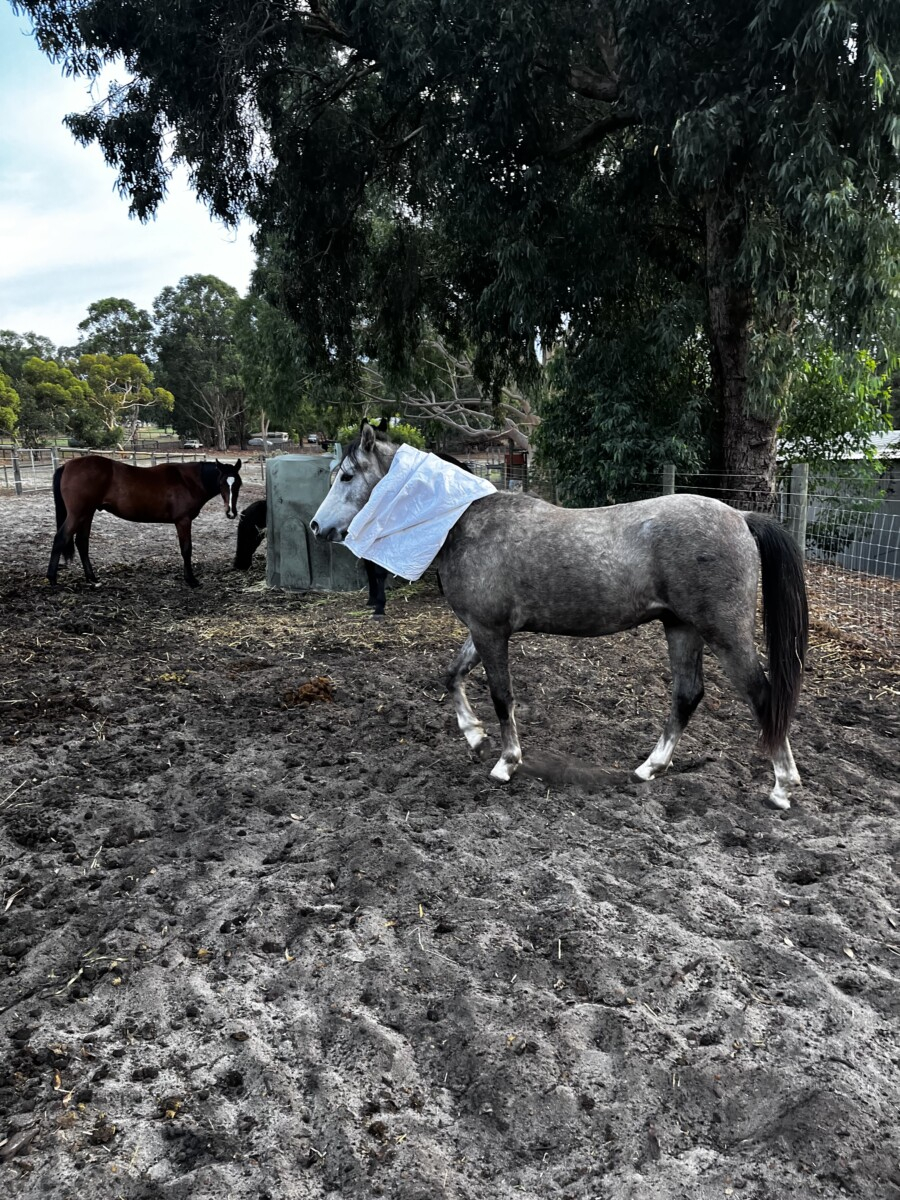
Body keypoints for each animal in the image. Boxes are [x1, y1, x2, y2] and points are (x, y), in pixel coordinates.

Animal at [48, 455, 243, 588]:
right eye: (222, 483)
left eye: (238, 484)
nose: (231, 512)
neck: (188, 481)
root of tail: (67, 466)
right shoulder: (183, 521)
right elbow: (186, 550)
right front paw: (191, 580)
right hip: (77, 514)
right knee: (61, 538)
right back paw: (52, 578)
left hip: (87, 514)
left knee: (82, 542)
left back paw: (92, 578)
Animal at [310, 422, 809, 810]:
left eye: (347, 475)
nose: (317, 527)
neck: (463, 522)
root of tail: (740, 517)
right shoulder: (481, 628)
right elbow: (451, 676)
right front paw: (474, 736)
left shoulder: (491, 632)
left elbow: (502, 696)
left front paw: (506, 761)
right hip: (681, 628)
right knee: (687, 694)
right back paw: (649, 768)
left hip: (724, 632)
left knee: (763, 695)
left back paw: (783, 787)